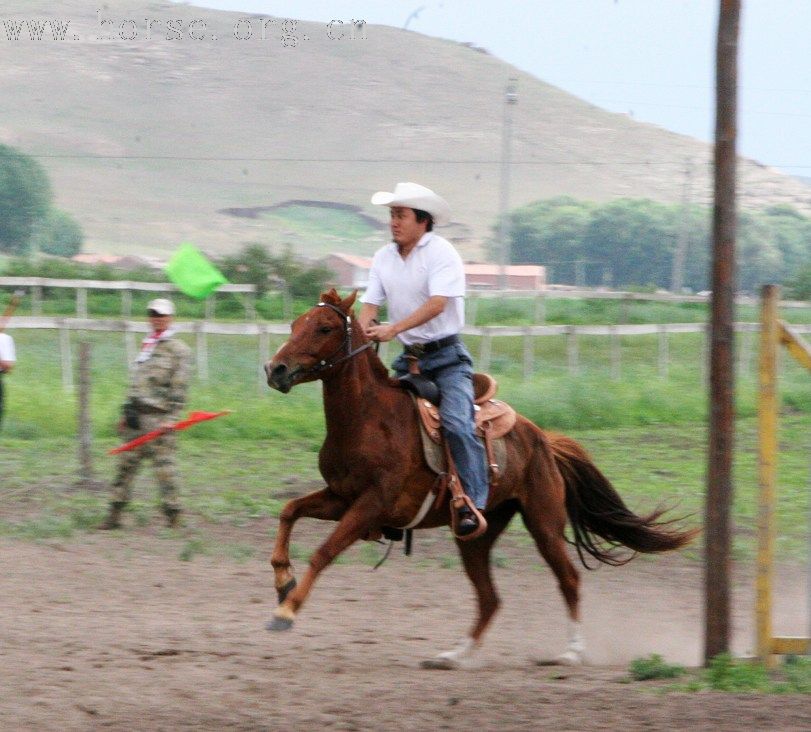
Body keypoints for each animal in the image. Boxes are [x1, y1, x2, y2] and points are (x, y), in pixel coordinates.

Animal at [264, 290, 696, 668]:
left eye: (323, 327)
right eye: (295, 323)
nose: (275, 369)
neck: (368, 418)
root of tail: (543, 438)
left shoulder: (372, 503)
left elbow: (323, 551)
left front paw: (286, 611)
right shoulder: (341, 497)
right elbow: (289, 510)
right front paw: (283, 580)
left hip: (544, 523)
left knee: (569, 578)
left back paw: (571, 653)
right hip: (475, 535)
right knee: (490, 599)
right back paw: (454, 656)